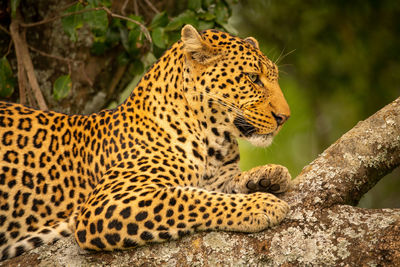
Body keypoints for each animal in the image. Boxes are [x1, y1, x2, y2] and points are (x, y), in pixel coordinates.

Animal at [0, 25, 290, 262]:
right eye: (253, 78)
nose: (284, 117)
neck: (215, 141)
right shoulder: (107, 203)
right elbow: (189, 198)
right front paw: (259, 205)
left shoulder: (215, 177)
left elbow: (221, 186)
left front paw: (268, 175)